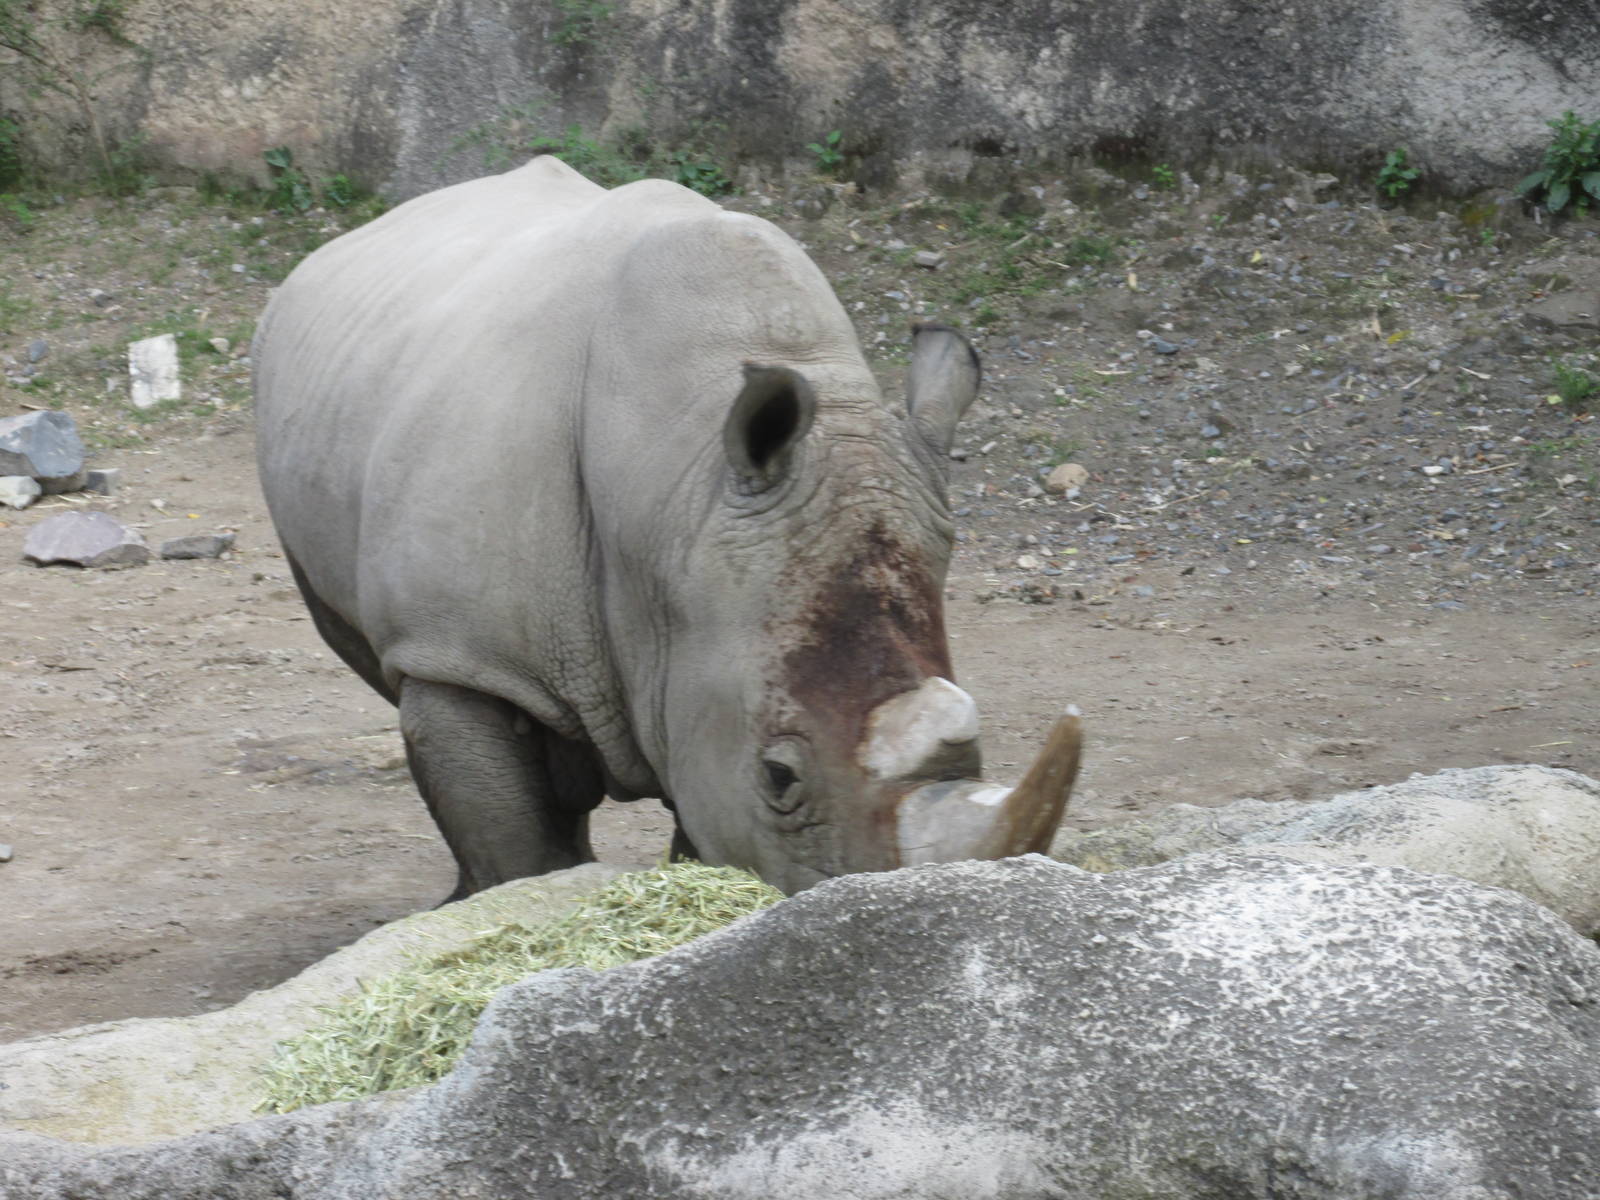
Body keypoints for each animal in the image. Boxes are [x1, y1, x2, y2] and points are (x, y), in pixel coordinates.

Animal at [253, 156, 1079, 897]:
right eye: (780, 777)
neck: (671, 501)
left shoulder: (702, 656)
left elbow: (701, 825)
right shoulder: (457, 654)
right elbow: (509, 841)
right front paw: (514, 902)